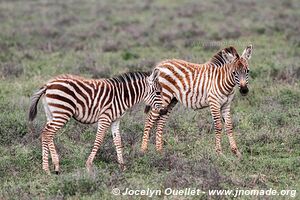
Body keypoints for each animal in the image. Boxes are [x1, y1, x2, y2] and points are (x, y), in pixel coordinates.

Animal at [28, 70, 163, 173]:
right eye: (158, 92)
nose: (163, 110)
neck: (122, 96)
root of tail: (48, 84)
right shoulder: (105, 118)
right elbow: (98, 140)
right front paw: (88, 165)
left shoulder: (115, 120)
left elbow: (118, 142)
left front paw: (122, 166)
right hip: (62, 113)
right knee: (47, 133)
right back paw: (51, 167)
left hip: (51, 114)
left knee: (46, 133)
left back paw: (49, 167)